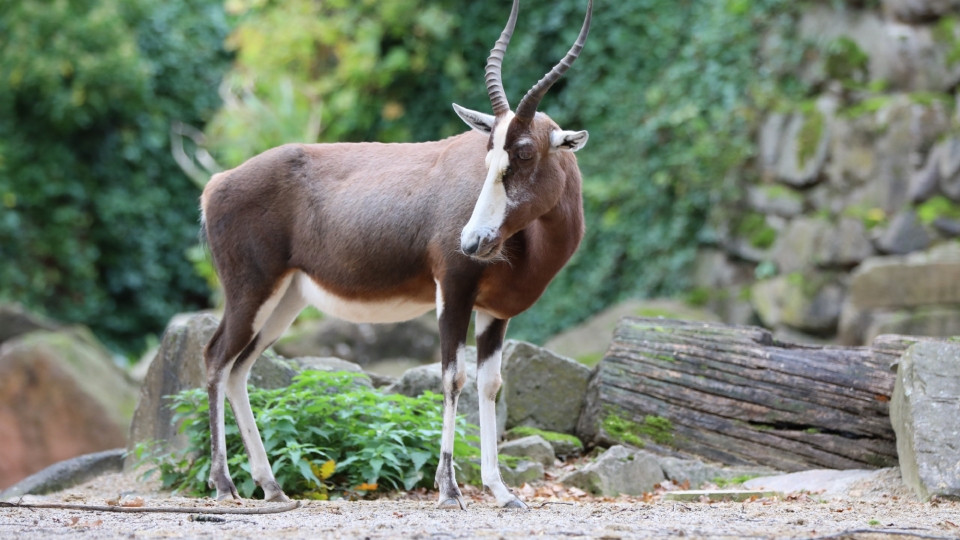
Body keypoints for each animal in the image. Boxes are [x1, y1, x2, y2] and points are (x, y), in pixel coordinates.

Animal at [201, 0, 592, 508]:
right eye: (488, 155)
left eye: (524, 153)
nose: (472, 241)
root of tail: (216, 184)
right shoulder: (454, 290)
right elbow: (452, 379)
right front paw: (449, 491)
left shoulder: (494, 312)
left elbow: (490, 385)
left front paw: (501, 492)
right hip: (250, 292)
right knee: (215, 360)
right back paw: (225, 485)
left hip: (284, 302)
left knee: (239, 369)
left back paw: (272, 487)